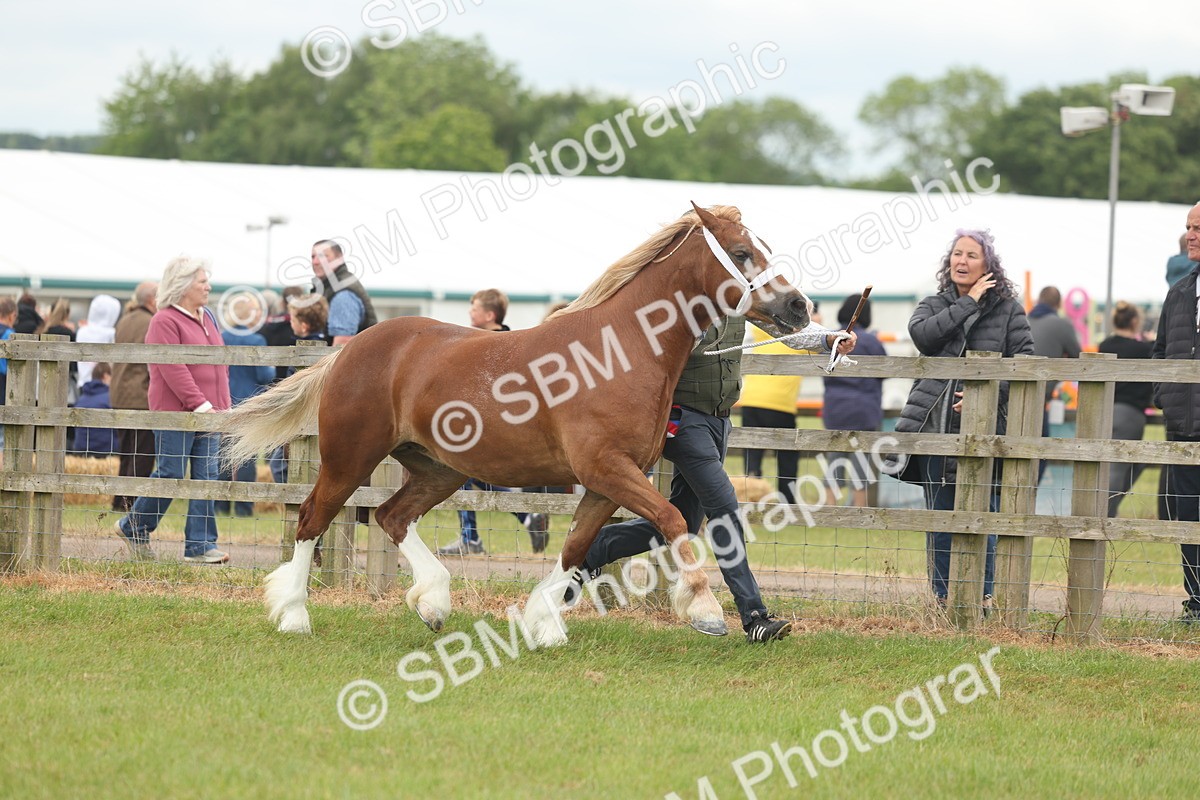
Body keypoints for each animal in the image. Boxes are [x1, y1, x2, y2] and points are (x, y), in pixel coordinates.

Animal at [220, 203, 812, 646]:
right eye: (742, 253)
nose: (799, 307)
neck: (622, 350)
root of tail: (352, 349)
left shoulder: (604, 483)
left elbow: (575, 547)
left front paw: (543, 622)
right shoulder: (608, 469)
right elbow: (671, 519)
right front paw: (705, 610)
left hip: (439, 469)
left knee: (390, 517)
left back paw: (432, 603)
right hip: (350, 458)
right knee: (312, 518)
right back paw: (295, 614)